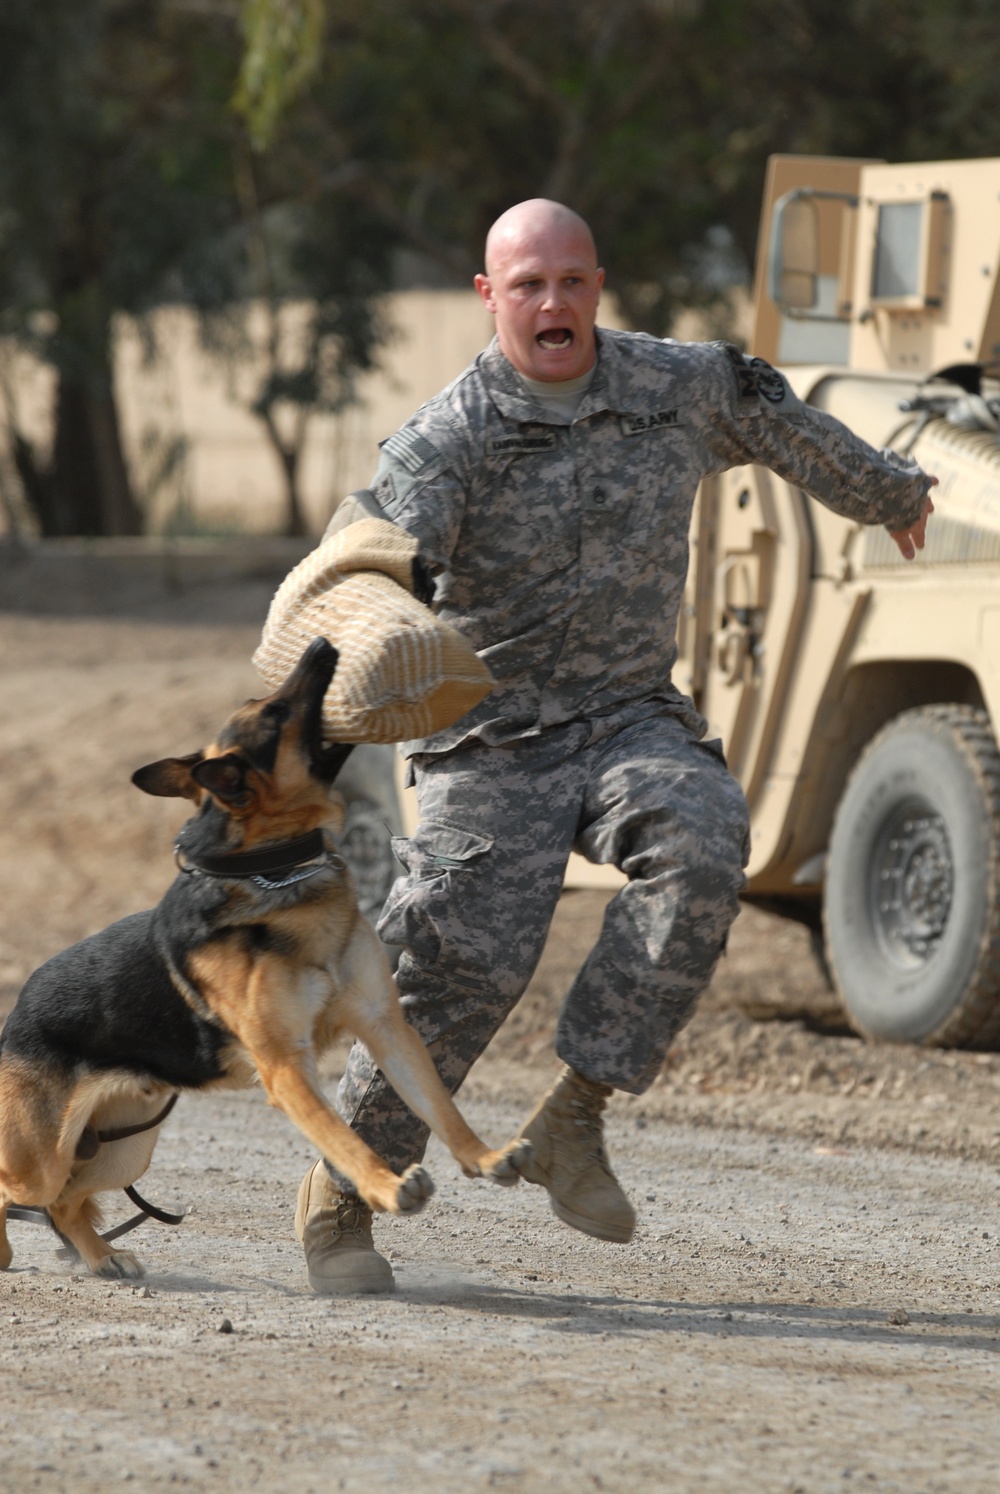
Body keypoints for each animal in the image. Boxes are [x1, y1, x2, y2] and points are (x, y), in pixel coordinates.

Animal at [0, 636, 529, 1278]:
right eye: (275, 713)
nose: (322, 644)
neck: (275, 870)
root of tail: (18, 1009)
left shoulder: (385, 1029)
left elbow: (440, 1107)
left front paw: (484, 1155)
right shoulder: (286, 1067)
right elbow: (343, 1139)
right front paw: (385, 1186)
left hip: (127, 1146)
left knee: (67, 1200)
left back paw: (103, 1257)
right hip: (40, 1158)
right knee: (18, 1190)